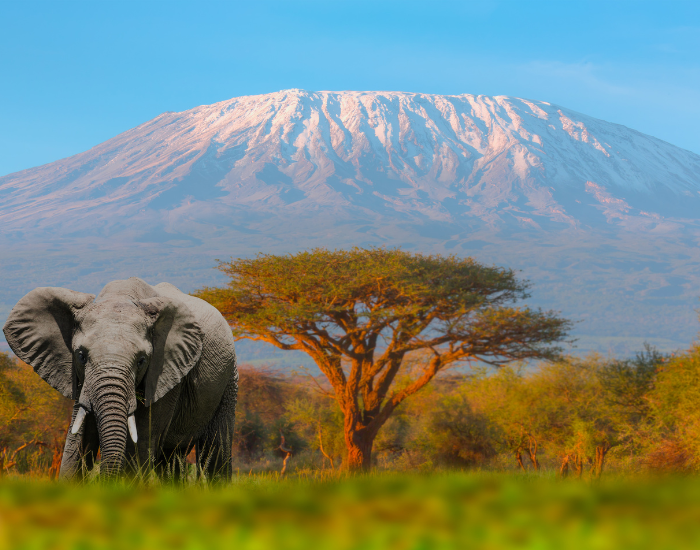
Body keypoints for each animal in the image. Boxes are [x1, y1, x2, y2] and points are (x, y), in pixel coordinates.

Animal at [2, 277, 238, 480]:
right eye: (81, 355)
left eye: (142, 361)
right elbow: (77, 443)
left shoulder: (165, 375)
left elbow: (140, 444)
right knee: (170, 462)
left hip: (229, 376)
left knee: (215, 451)